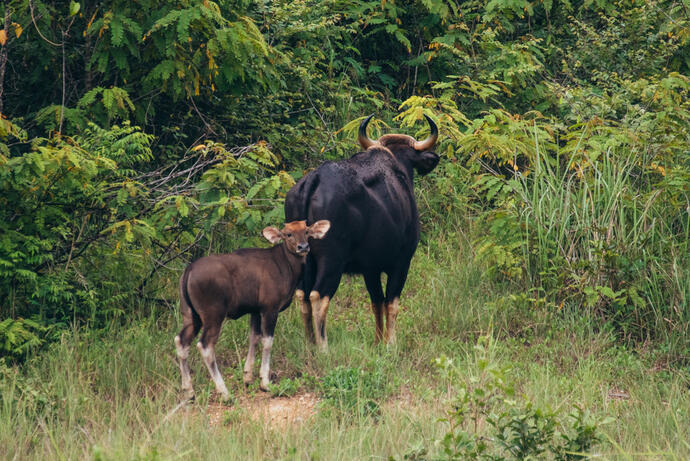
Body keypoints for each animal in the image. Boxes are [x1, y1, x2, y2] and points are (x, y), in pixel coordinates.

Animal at [175, 219, 330, 398]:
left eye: (306, 231)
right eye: (288, 234)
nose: (303, 247)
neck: (286, 267)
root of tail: (188, 272)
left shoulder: (255, 310)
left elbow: (253, 338)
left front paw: (248, 377)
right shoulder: (270, 309)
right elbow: (267, 341)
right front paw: (265, 382)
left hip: (191, 315)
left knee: (181, 341)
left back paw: (189, 391)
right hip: (213, 315)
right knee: (205, 345)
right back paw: (224, 392)